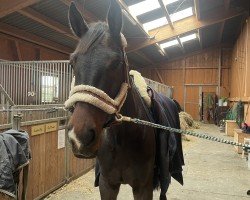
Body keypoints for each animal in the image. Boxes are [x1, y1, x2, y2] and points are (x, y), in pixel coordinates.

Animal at [66, 0, 184, 199]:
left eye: (116, 63)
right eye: (72, 62)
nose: (79, 137)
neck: (122, 139)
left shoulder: (143, 187)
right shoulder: (107, 184)